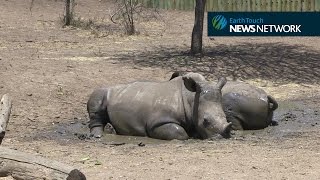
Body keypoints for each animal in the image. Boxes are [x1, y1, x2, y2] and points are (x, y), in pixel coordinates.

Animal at [87, 72, 232, 140]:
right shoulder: (157, 122)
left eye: (226, 117)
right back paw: (98, 136)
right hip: (103, 91)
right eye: (205, 121)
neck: (191, 99)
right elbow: (180, 133)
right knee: (98, 98)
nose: (222, 136)